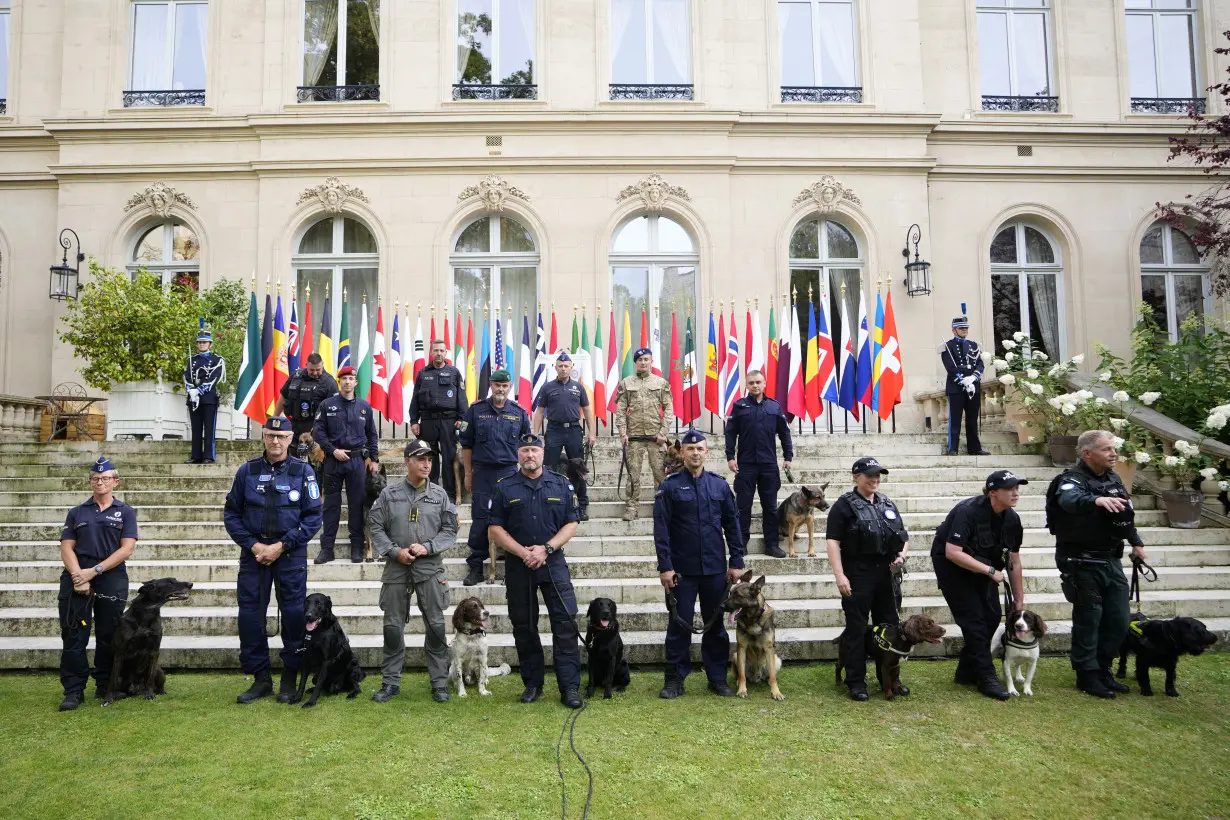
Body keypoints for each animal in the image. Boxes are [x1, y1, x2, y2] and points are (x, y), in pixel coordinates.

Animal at [100, 577, 191, 708]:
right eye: (170, 582)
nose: (191, 584)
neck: (148, 611)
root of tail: (135, 689)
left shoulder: (154, 651)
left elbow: (150, 678)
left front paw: (149, 694)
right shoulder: (119, 654)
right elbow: (112, 680)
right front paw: (107, 699)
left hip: (160, 672)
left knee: (157, 683)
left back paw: (160, 691)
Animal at [723, 570, 782, 698]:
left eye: (738, 595)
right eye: (730, 593)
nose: (721, 606)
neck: (753, 620)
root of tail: (757, 676)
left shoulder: (769, 648)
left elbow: (773, 676)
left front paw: (776, 692)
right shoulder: (741, 648)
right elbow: (742, 675)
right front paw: (742, 690)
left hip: (776, 659)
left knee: (771, 675)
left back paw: (769, 681)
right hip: (735, 656)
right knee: (741, 675)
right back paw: (738, 682)